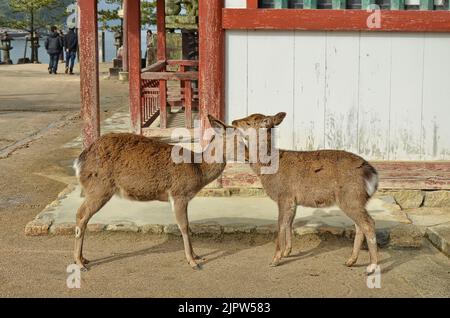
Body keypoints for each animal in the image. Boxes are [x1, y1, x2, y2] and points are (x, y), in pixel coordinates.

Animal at [72, 114, 241, 270]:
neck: (198, 169)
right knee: (81, 214)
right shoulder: (178, 194)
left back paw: (83, 259)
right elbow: (184, 226)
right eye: (240, 140)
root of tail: (78, 162)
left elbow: (187, 225)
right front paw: (193, 262)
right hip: (99, 188)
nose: (247, 156)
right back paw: (79, 262)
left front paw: (196, 255)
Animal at [232, 112, 380, 274]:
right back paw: (350, 261)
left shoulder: (284, 195)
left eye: (248, 122)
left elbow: (281, 224)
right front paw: (287, 252)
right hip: (356, 200)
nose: (233, 122)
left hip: (351, 197)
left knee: (368, 223)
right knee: (360, 225)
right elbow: (289, 223)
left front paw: (275, 259)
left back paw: (372, 266)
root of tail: (372, 175)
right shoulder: (293, 199)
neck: (267, 171)